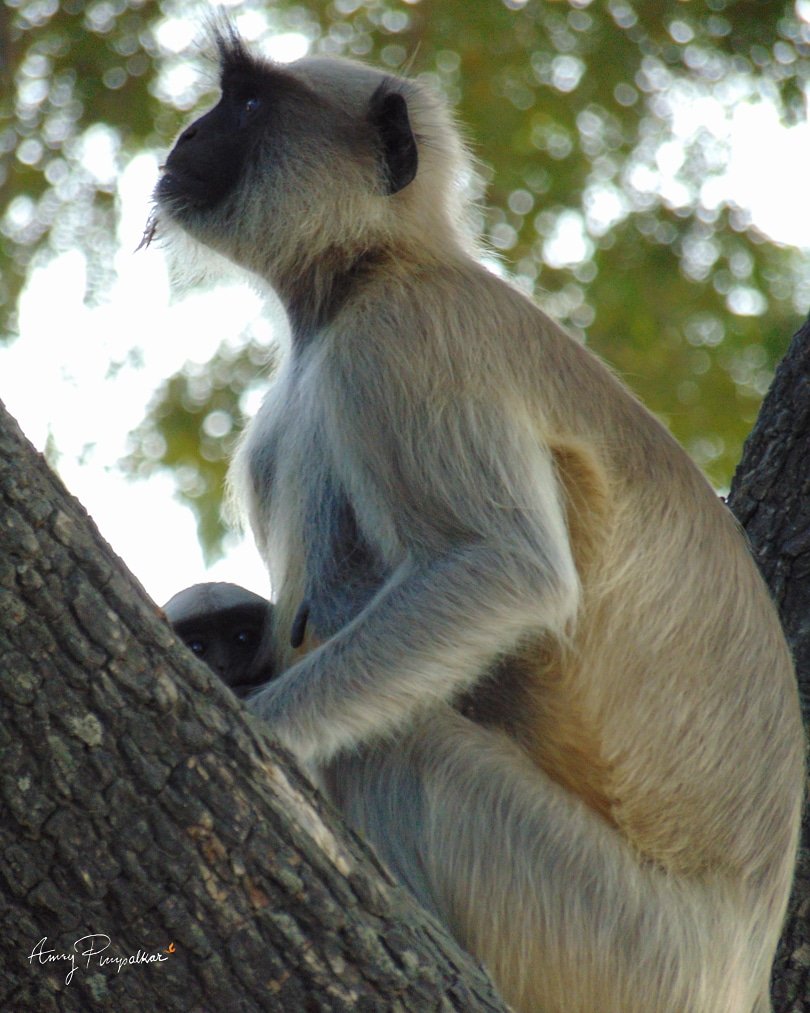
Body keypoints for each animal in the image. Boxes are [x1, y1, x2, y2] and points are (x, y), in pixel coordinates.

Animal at [142, 27, 805, 1013]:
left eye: (248, 105)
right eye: (223, 102)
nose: (188, 134)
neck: (364, 276)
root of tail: (738, 965)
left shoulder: (404, 338)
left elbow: (504, 569)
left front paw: (263, 732)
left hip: (613, 936)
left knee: (395, 746)